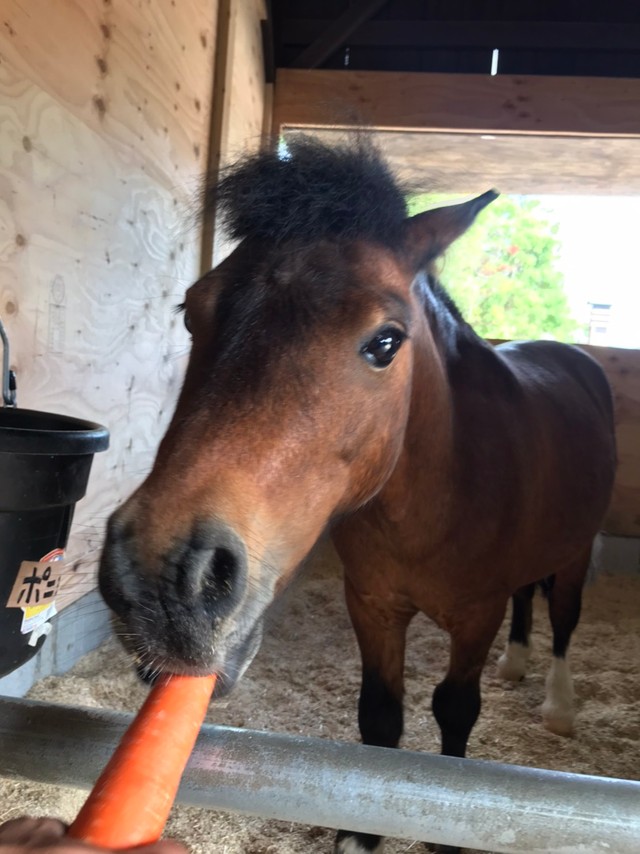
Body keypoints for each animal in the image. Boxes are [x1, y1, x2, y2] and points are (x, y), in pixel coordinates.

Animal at [99, 136, 616, 853]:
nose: (161, 582)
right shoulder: (371, 605)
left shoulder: (475, 614)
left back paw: (559, 707)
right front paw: (361, 836)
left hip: (572, 554)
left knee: (563, 620)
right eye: (191, 311)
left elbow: (455, 713)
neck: (435, 500)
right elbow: (380, 716)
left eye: (386, 341)